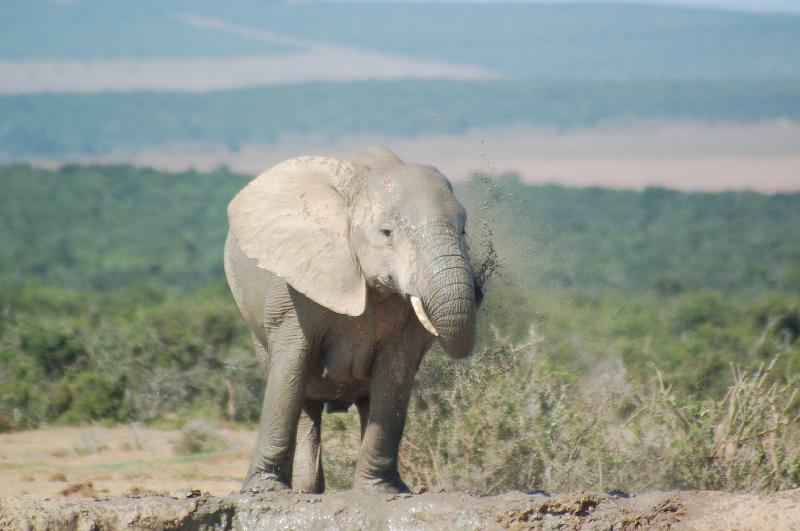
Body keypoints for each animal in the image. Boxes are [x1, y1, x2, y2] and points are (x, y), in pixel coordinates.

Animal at [223, 146, 481, 494]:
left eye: (464, 230)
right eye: (387, 232)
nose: (480, 290)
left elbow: (395, 373)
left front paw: (380, 491)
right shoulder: (294, 285)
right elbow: (291, 366)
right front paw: (263, 490)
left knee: (366, 402)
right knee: (303, 401)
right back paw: (307, 492)